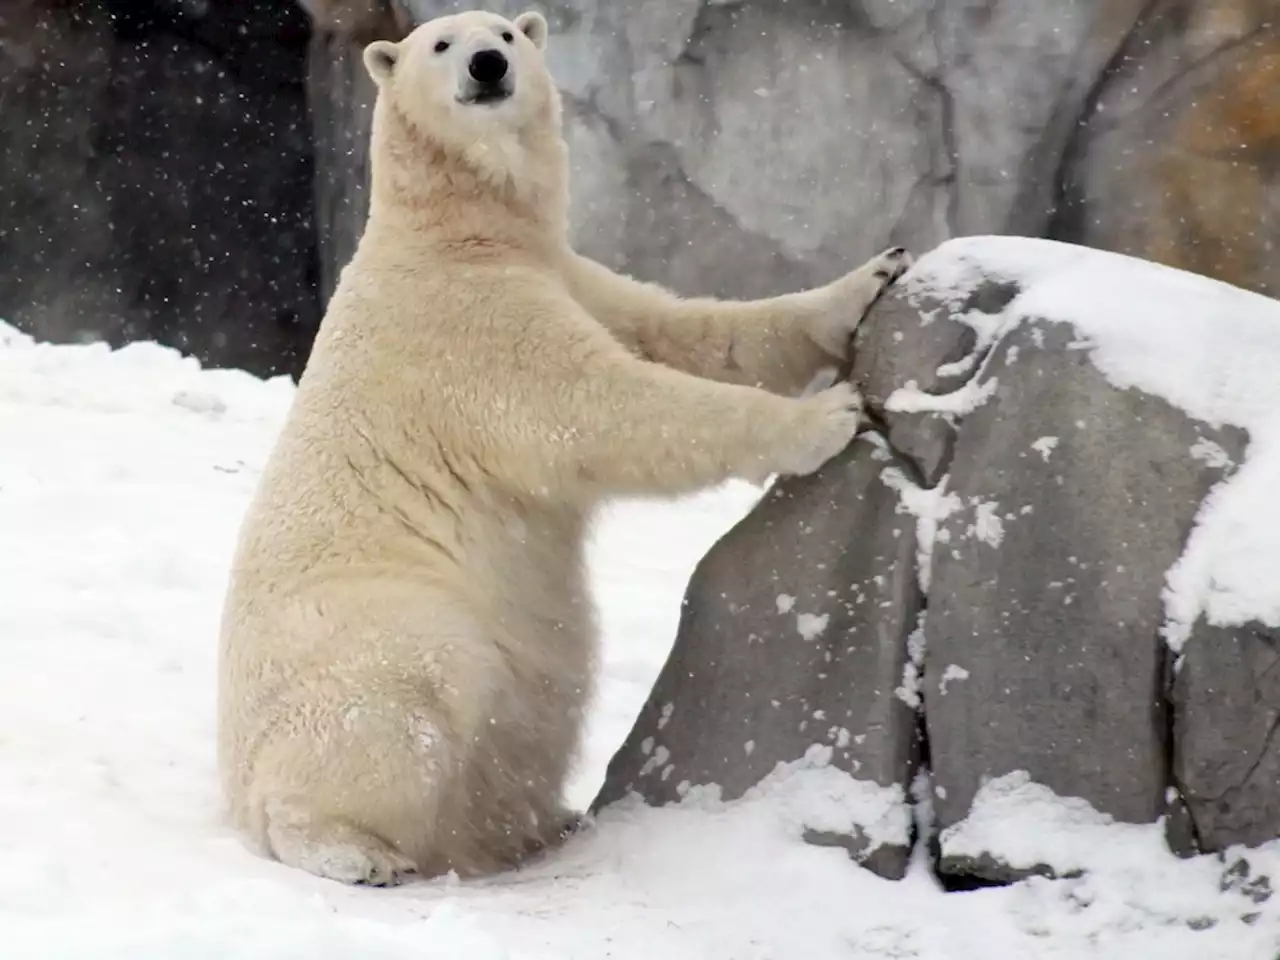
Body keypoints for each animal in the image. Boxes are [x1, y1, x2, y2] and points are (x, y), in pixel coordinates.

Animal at [217, 7, 911, 890]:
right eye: (440, 42)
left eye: (507, 33)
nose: (486, 64)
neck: (454, 237)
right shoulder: (469, 330)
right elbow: (601, 409)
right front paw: (830, 414)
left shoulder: (572, 277)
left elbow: (688, 331)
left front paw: (872, 275)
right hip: (371, 625)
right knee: (411, 694)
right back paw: (357, 850)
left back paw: (534, 824)